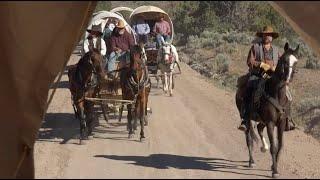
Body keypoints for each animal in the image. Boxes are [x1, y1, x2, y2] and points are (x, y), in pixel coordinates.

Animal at [235, 42, 300, 179]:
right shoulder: (270, 123)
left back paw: (263, 147)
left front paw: (273, 166)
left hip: (261, 120)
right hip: (247, 119)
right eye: (284, 60)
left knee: (259, 129)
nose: (288, 78)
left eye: (296, 61)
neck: (277, 94)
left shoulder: (281, 123)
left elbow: (280, 146)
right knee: (249, 138)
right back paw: (251, 161)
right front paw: (274, 171)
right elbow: (273, 147)